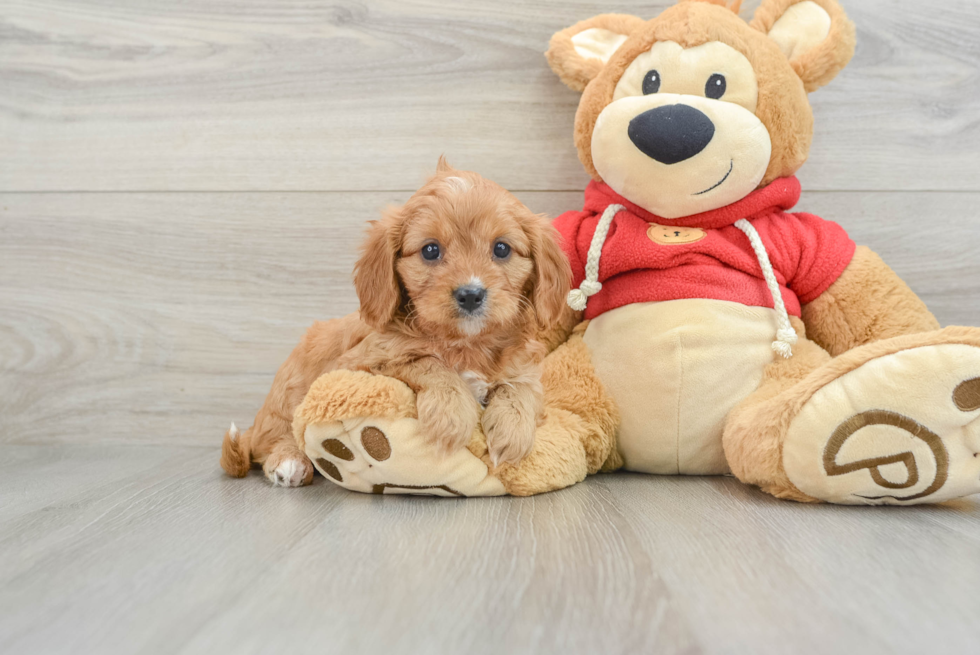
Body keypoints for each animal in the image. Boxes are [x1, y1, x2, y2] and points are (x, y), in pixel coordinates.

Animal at [222, 161, 572, 484]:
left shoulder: (525, 367)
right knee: (276, 437)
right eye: (430, 250)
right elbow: (427, 363)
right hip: (289, 391)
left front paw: (512, 432)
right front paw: (451, 415)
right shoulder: (357, 364)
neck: (466, 343)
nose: (471, 294)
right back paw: (290, 462)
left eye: (501, 248)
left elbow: (523, 389)